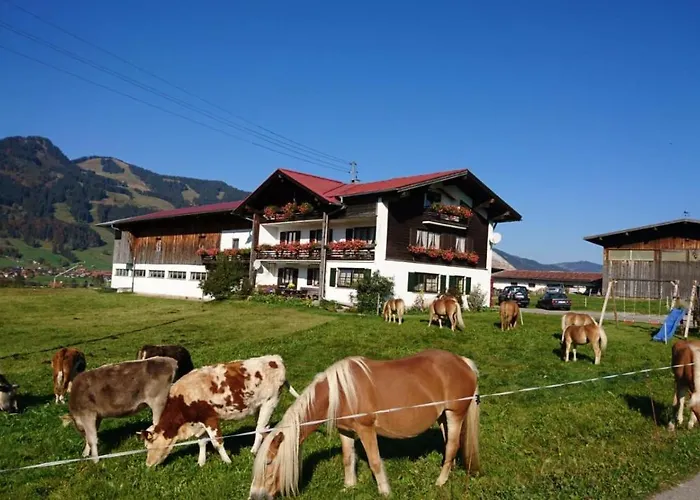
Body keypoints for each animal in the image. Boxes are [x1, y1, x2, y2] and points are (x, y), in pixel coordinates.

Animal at [138, 354, 300, 467]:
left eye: (148, 446)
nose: (148, 464)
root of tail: (275, 359)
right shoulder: (199, 422)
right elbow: (202, 442)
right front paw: (201, 462)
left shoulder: (210, 418)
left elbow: (217, 442)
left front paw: (227, 461)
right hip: (259, 406)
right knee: (264, 427)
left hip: (270, 402)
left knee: (259, 428)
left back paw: (253, 451)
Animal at [248, 349, 480, 499]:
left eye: (268, 463)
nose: (255, 496)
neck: (341, 392)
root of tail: (463, 362)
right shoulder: (346, 431)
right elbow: (347, 459)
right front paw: (349, 487)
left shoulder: (366, 429)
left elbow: (375, 461)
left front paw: (385, 492)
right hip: (442, 417)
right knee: (448, 445)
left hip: (455, 414)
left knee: (452, 446)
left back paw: (440, 482)